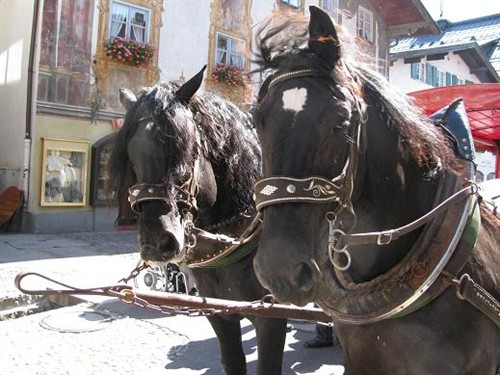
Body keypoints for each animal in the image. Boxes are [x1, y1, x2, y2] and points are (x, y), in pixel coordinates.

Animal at [108, 68, 290, 375]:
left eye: (183, 148)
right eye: (131, 156)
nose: (157, 243)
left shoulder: (271, 316)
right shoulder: (218, 312)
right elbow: (233, 360)